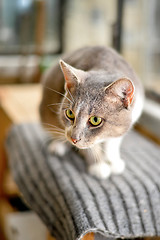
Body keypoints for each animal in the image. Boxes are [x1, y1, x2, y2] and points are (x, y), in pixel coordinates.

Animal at [39, 46, 144, 179]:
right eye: (70, 113)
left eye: (95, 120)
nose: (73, 139)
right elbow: (90, 147)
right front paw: (99, 165)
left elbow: (113, 142)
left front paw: (113, 161)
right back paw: (58, 145)